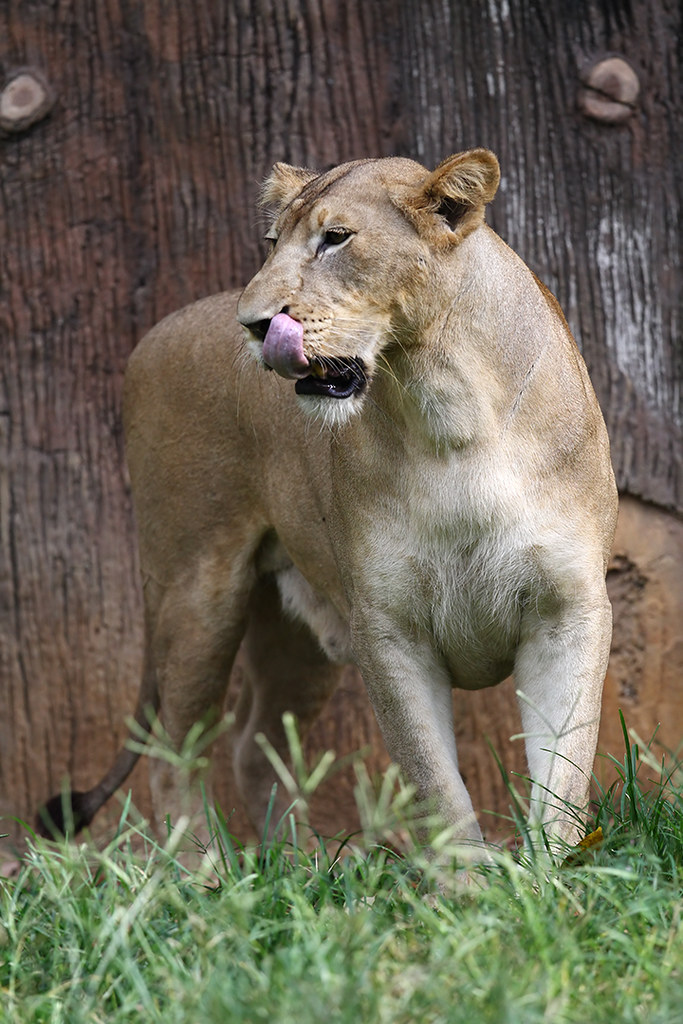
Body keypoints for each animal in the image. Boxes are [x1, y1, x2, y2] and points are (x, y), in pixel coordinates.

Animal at [40, 149, 618, 859]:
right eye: (271, 244)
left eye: (336, 238)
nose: (254, 325)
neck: (449, 408)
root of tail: (152, 335)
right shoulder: (388, 626)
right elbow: (437, 784)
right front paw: (468, 879)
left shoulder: (568, 610)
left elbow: (564, 771)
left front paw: (547, 876)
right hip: (195, 593)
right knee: (174, 753)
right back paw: (204, 873)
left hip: (292, 635)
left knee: (252, 746)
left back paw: (303, 864)